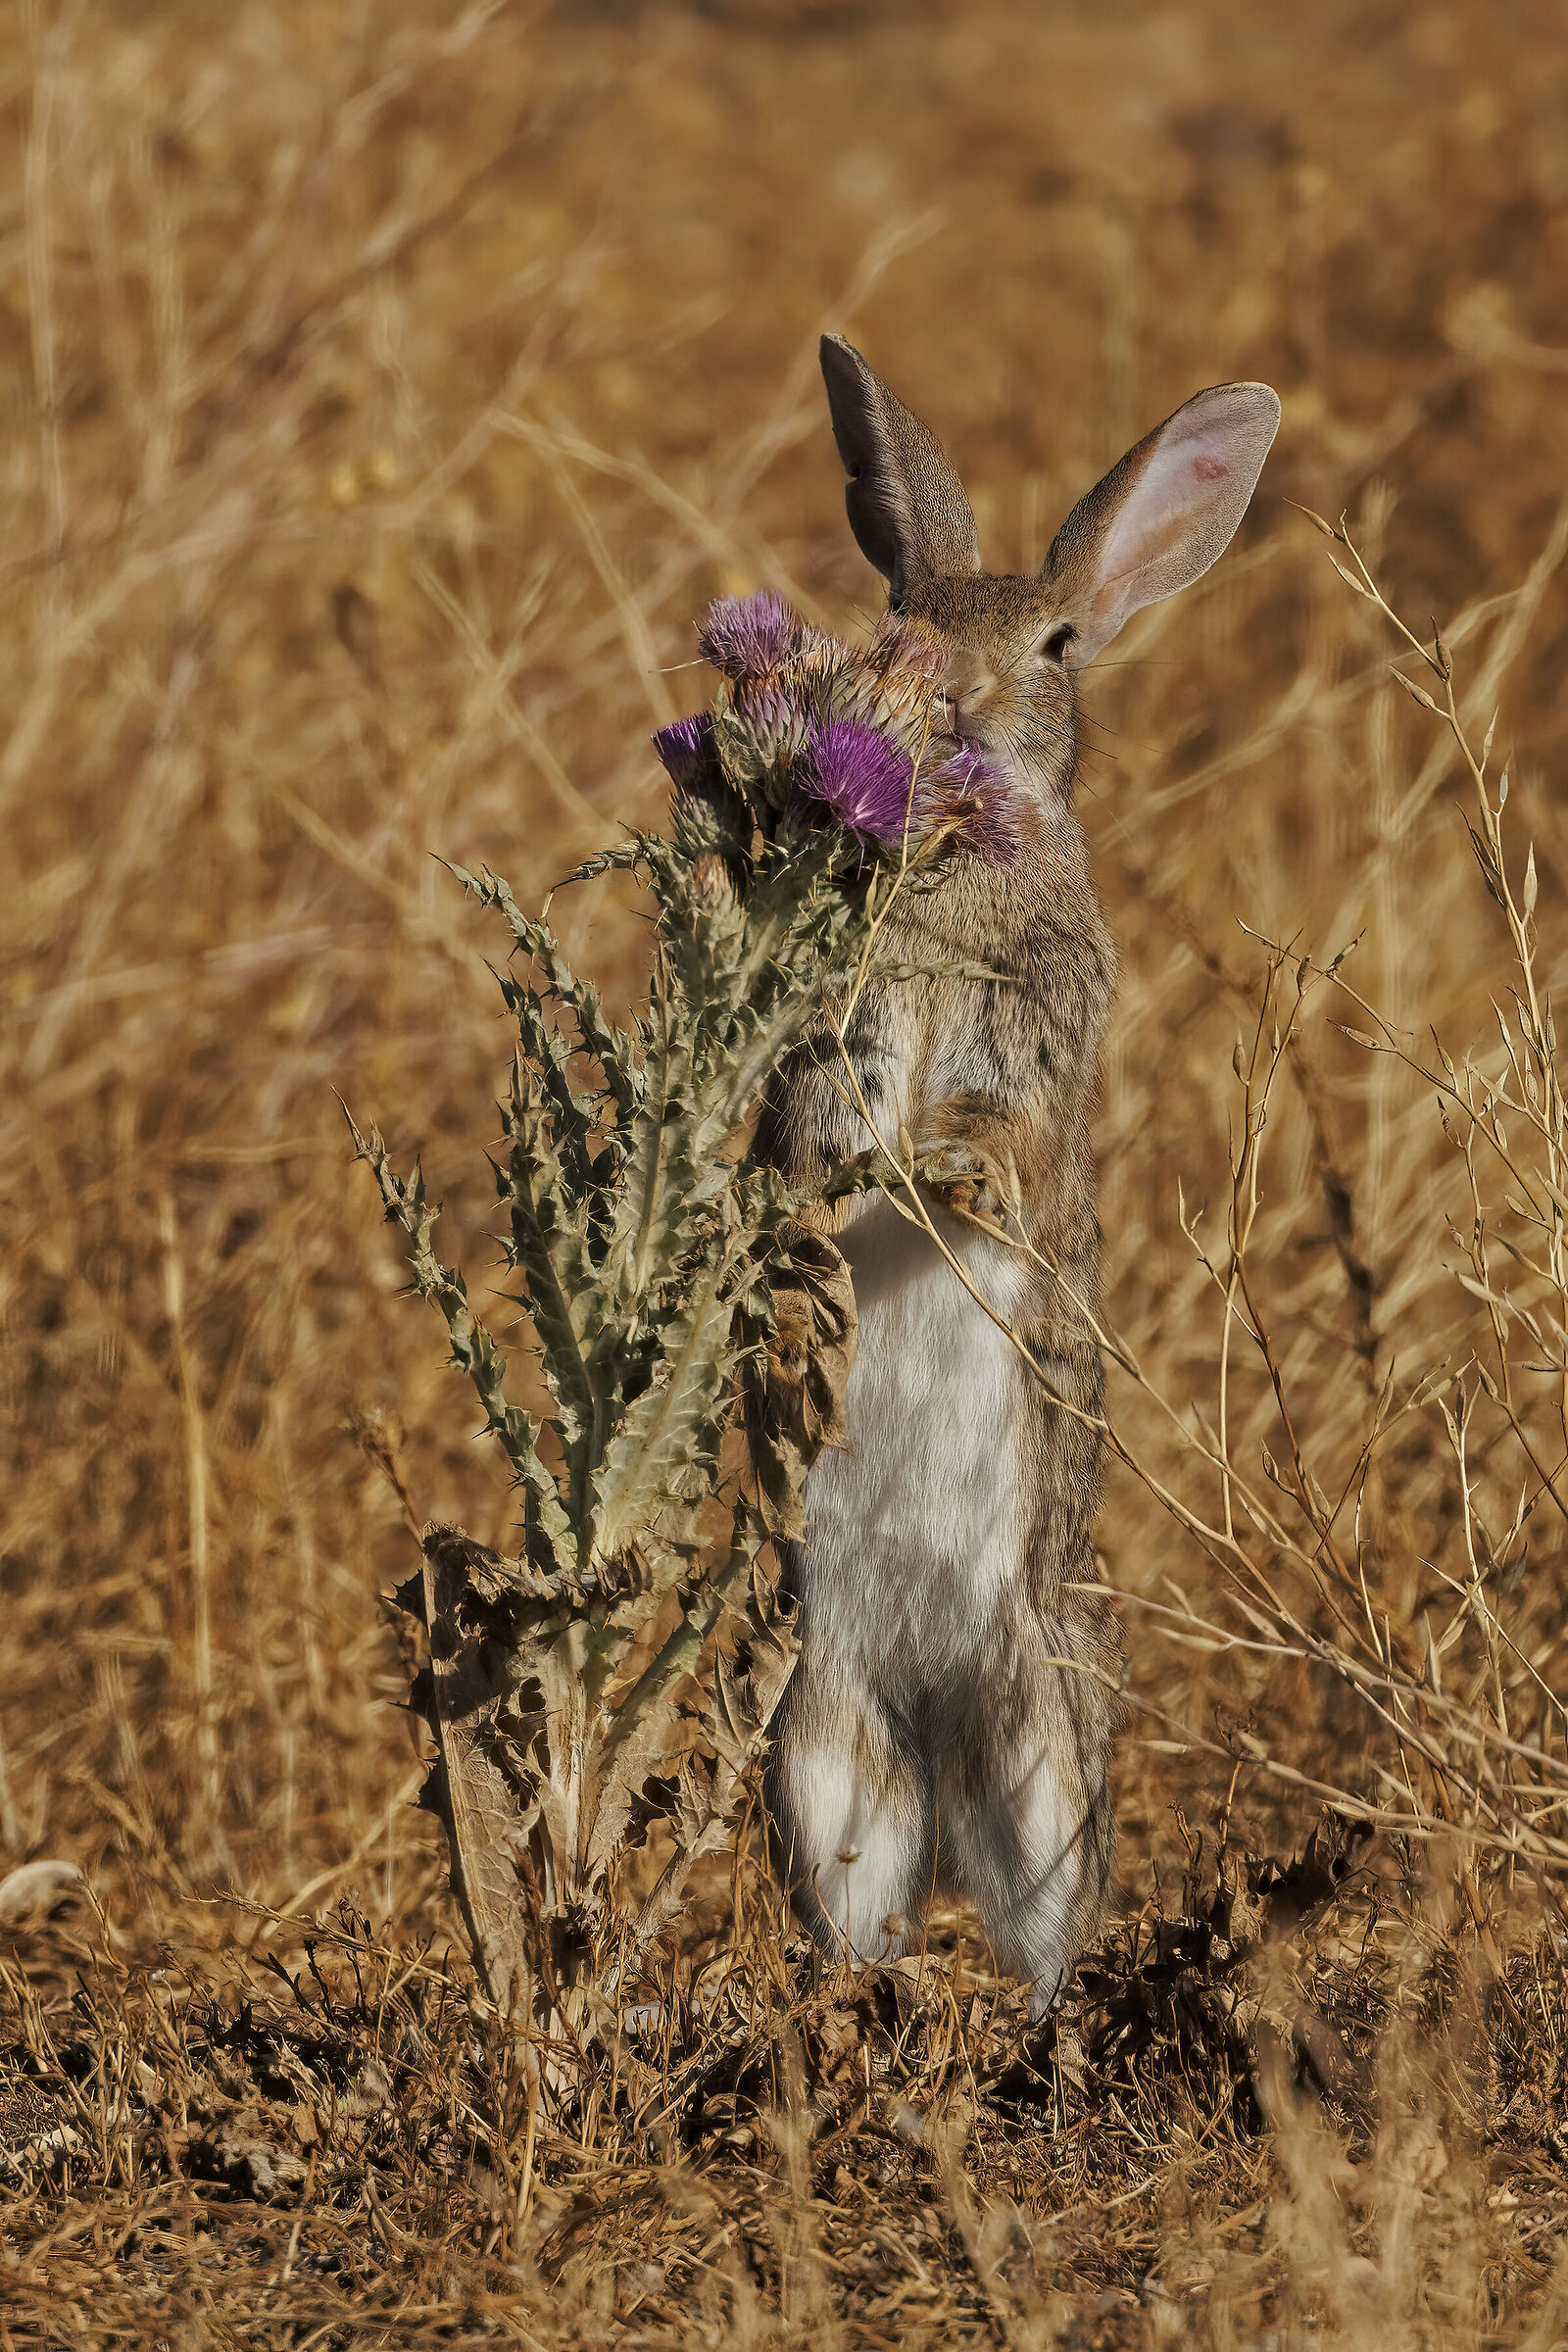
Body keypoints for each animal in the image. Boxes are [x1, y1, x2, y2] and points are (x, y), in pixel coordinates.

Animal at [754, 336, 1279, 2015]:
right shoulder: (838, 1033)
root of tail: (928, 1735)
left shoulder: (1035, 1036)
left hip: (1048, 1729)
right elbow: (818, 1122)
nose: (955, 702)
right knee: (858, 1896)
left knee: (1049, 1929)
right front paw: (831, 1213)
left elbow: (1002, 1135)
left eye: (1053, 643)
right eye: (900, 621)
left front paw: (942, 1179)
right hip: (818, 1740)